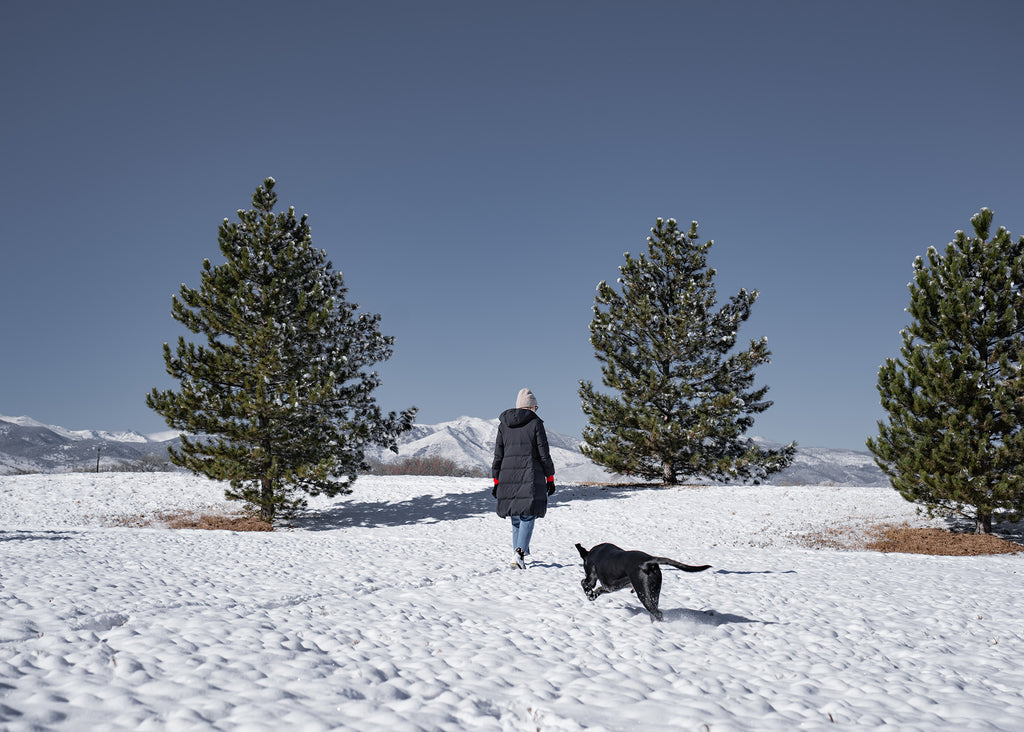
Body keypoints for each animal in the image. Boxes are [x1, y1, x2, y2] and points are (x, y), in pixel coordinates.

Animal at [577, 540, 712, 622]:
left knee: (657, 613)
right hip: (652, 594)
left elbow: (584, 583)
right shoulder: (611, 586)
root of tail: (649, 561)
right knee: (654, 612)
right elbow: (599, 589)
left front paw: (590, 594)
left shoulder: (595, 579)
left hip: (644, 594)